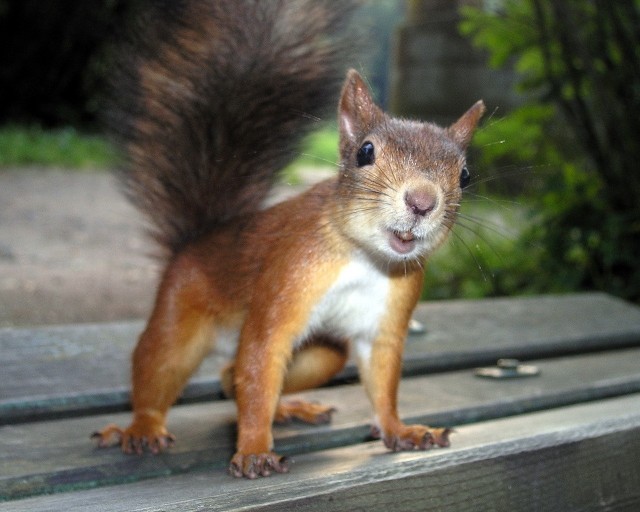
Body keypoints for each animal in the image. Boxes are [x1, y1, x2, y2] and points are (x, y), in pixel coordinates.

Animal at [93, 0, 485, 479]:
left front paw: (401, 429)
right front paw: (254, 449)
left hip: (323, 354)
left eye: (465, 175)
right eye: (365, 152)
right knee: (167, 367)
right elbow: (261, 357)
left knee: (232, 377)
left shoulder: (387, 316)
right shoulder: (287, 276)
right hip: (178, 314)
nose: (422, 201)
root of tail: (201, 240)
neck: (363, 257)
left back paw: (285, 408)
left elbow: (382, 380)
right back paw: (142, 428)